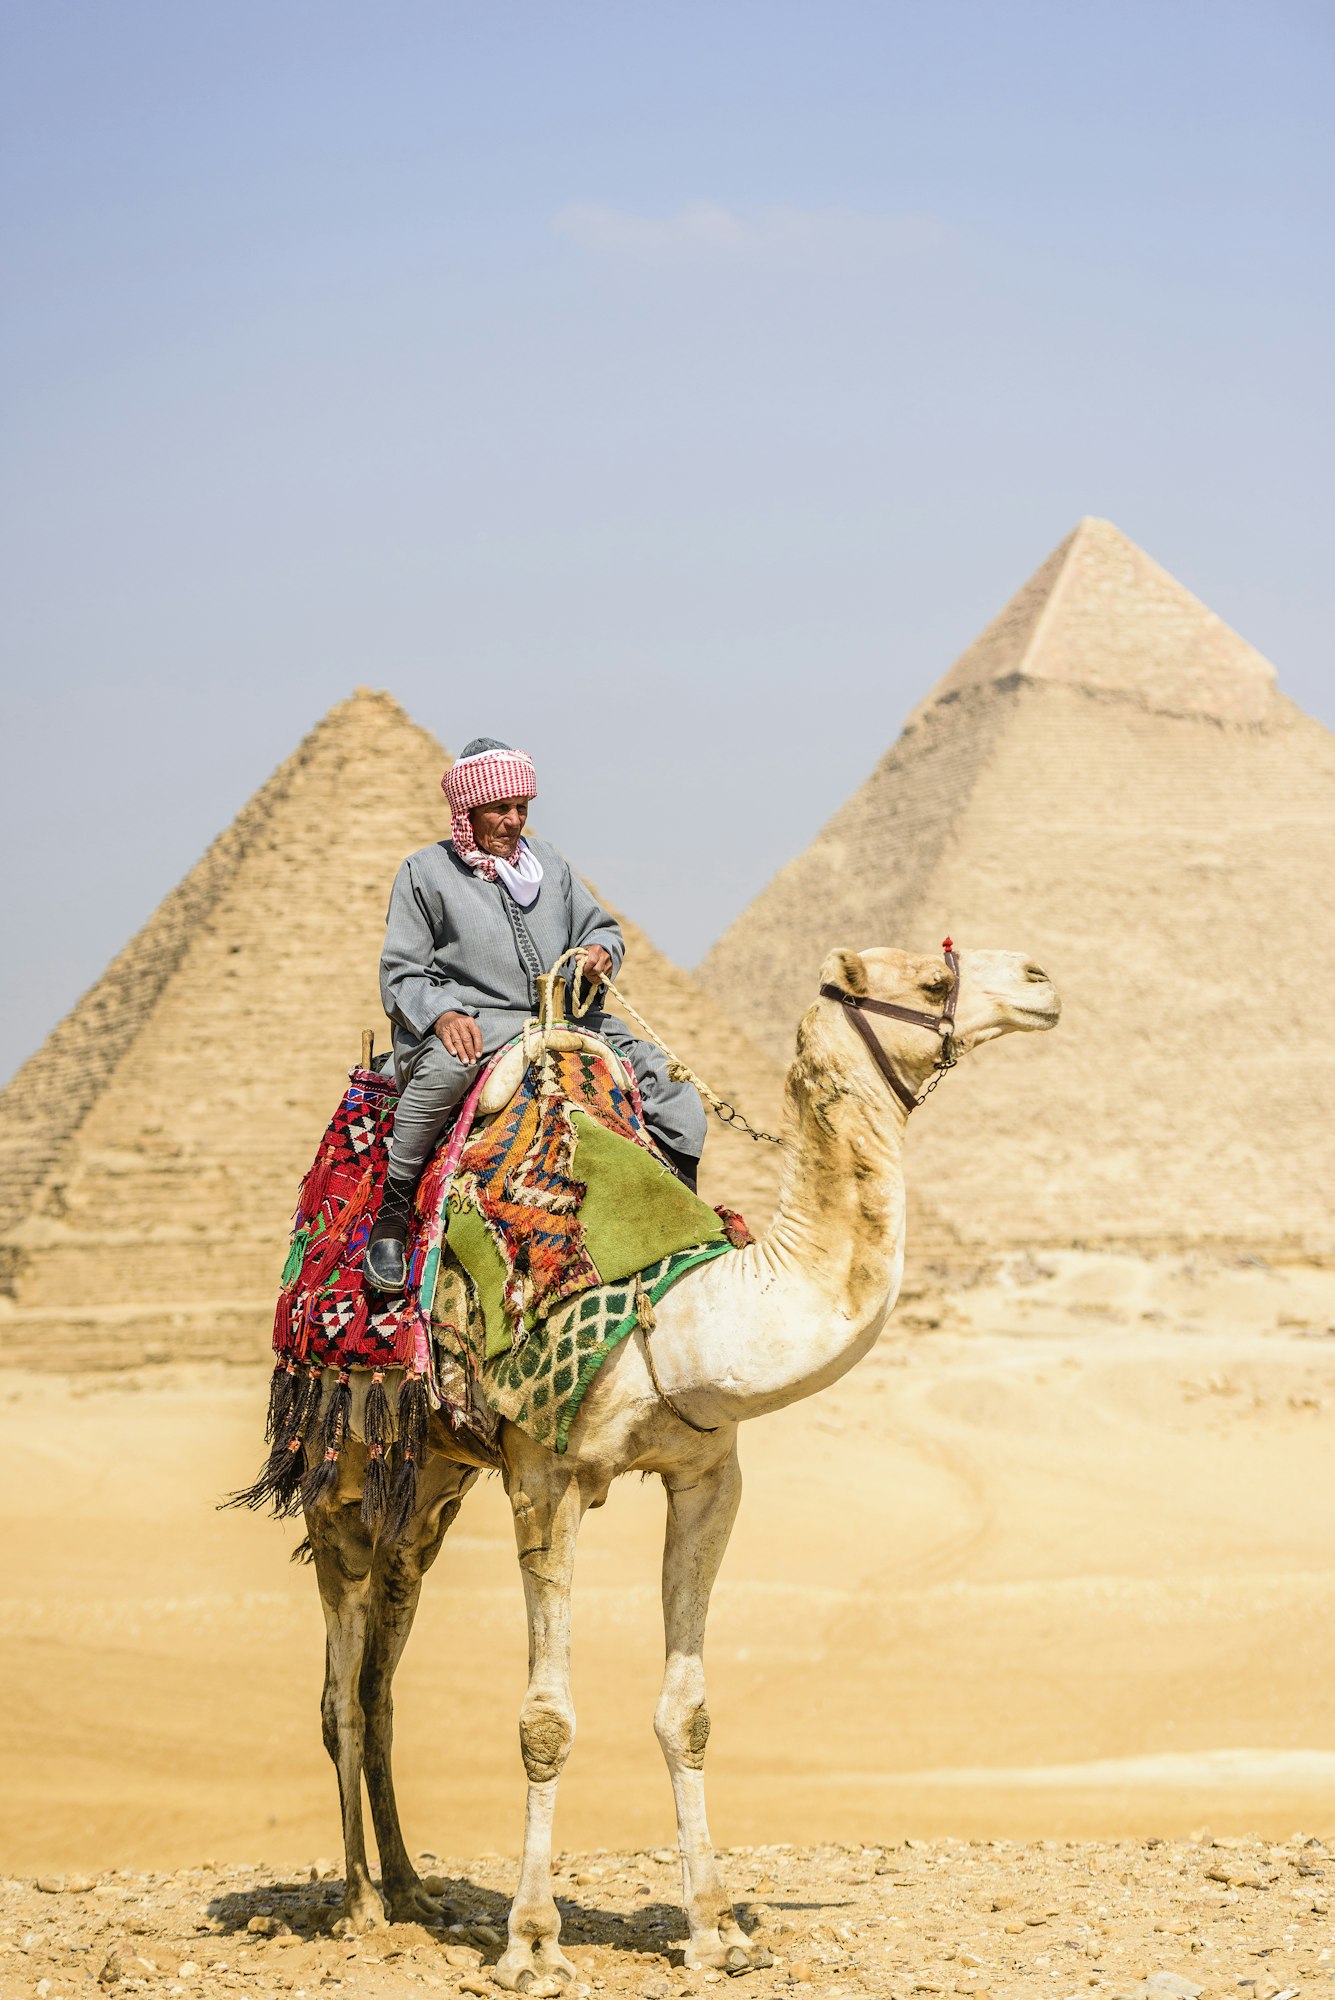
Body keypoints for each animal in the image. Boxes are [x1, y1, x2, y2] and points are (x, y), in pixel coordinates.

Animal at [301, 948, 1063, 1984]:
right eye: (922, 979)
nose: (1039, 977)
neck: (683, 1314)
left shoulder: (708, 1477)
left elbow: (687, 1710)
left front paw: (714, 1928)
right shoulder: (542, 1480)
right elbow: (545, 1720)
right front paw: (532, 1944)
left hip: (428, 1479)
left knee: (382, 1667)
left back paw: (417, 1888)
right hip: (337, 1462)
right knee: (340, 1686)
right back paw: (361, 1904)